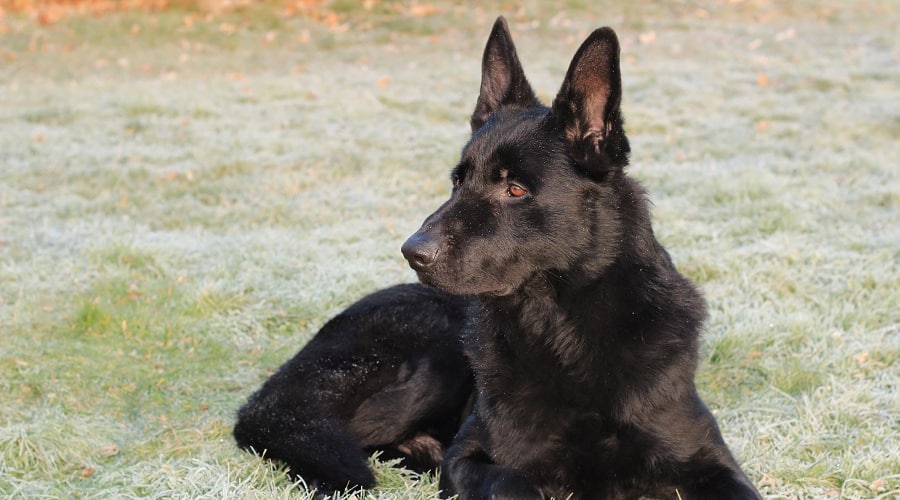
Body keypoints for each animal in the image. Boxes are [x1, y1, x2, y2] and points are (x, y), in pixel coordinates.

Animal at [404, 16, 764, 500]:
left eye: (514, 188)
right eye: (458, 182)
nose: (412, 251)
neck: (563, 326)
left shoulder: (710, 460)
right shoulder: (467, 456)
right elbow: (512, 480)